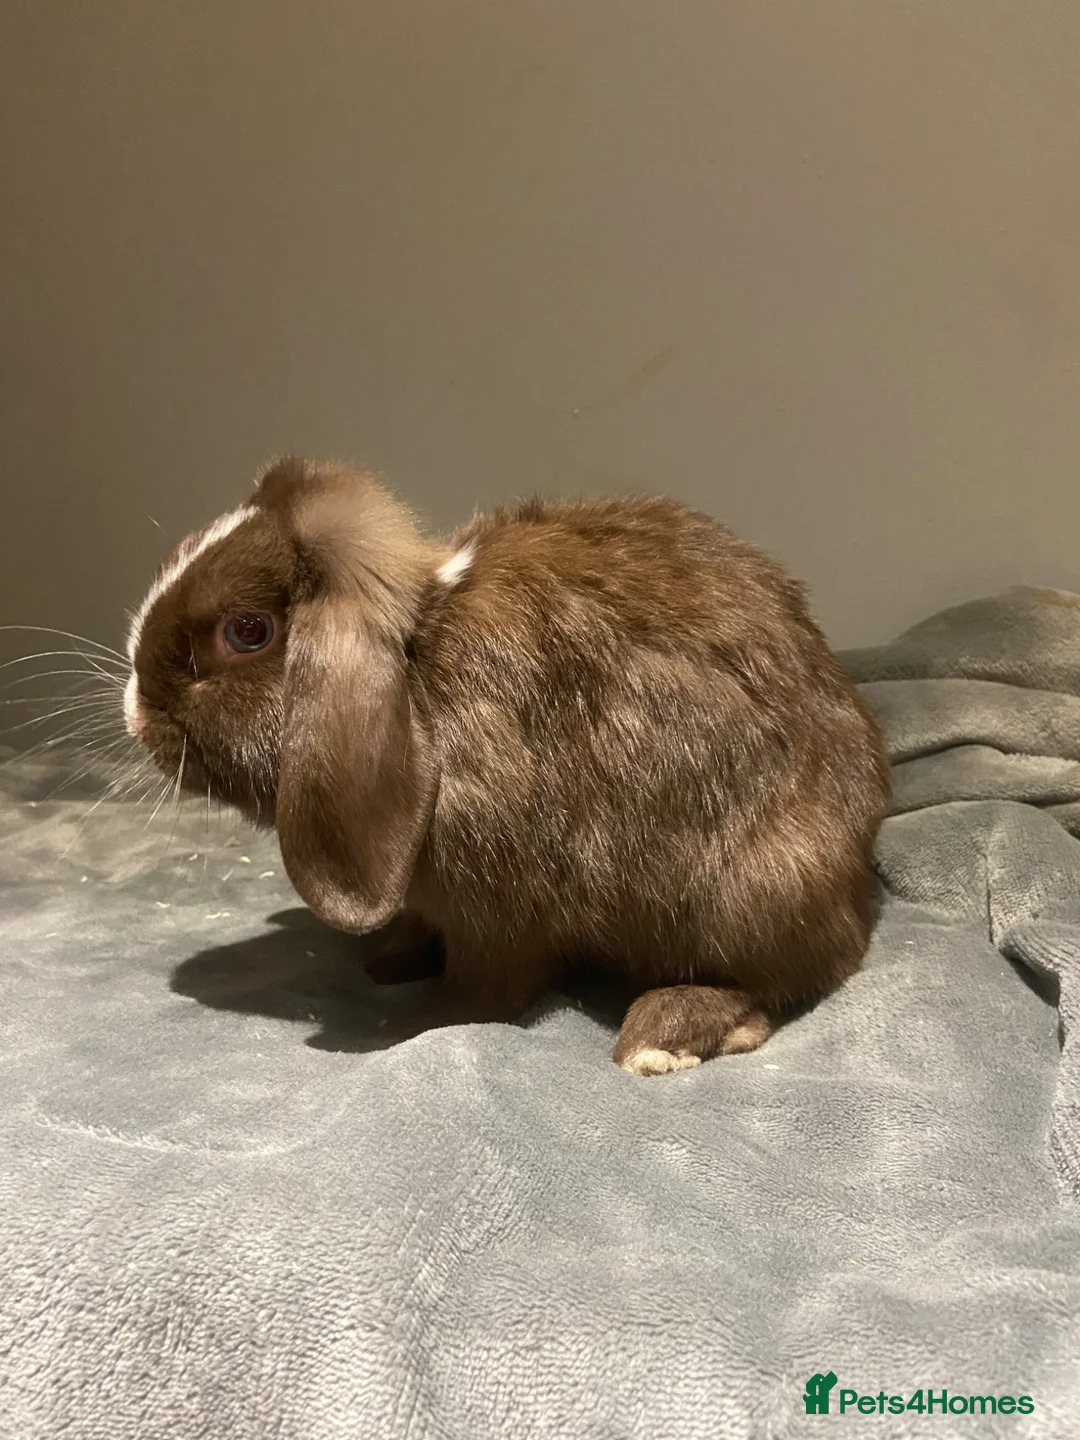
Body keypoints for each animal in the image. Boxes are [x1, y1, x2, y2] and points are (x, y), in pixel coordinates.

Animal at [125, 457, 890, 1074]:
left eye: (248, 631)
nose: (135, 709)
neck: (418, 670)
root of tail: (858, 875)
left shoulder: (497, 903)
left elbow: (487, 989)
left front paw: (402, 1023)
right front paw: (390, 961)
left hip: (756, 888)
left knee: (794, 974)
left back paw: (662, 1036)